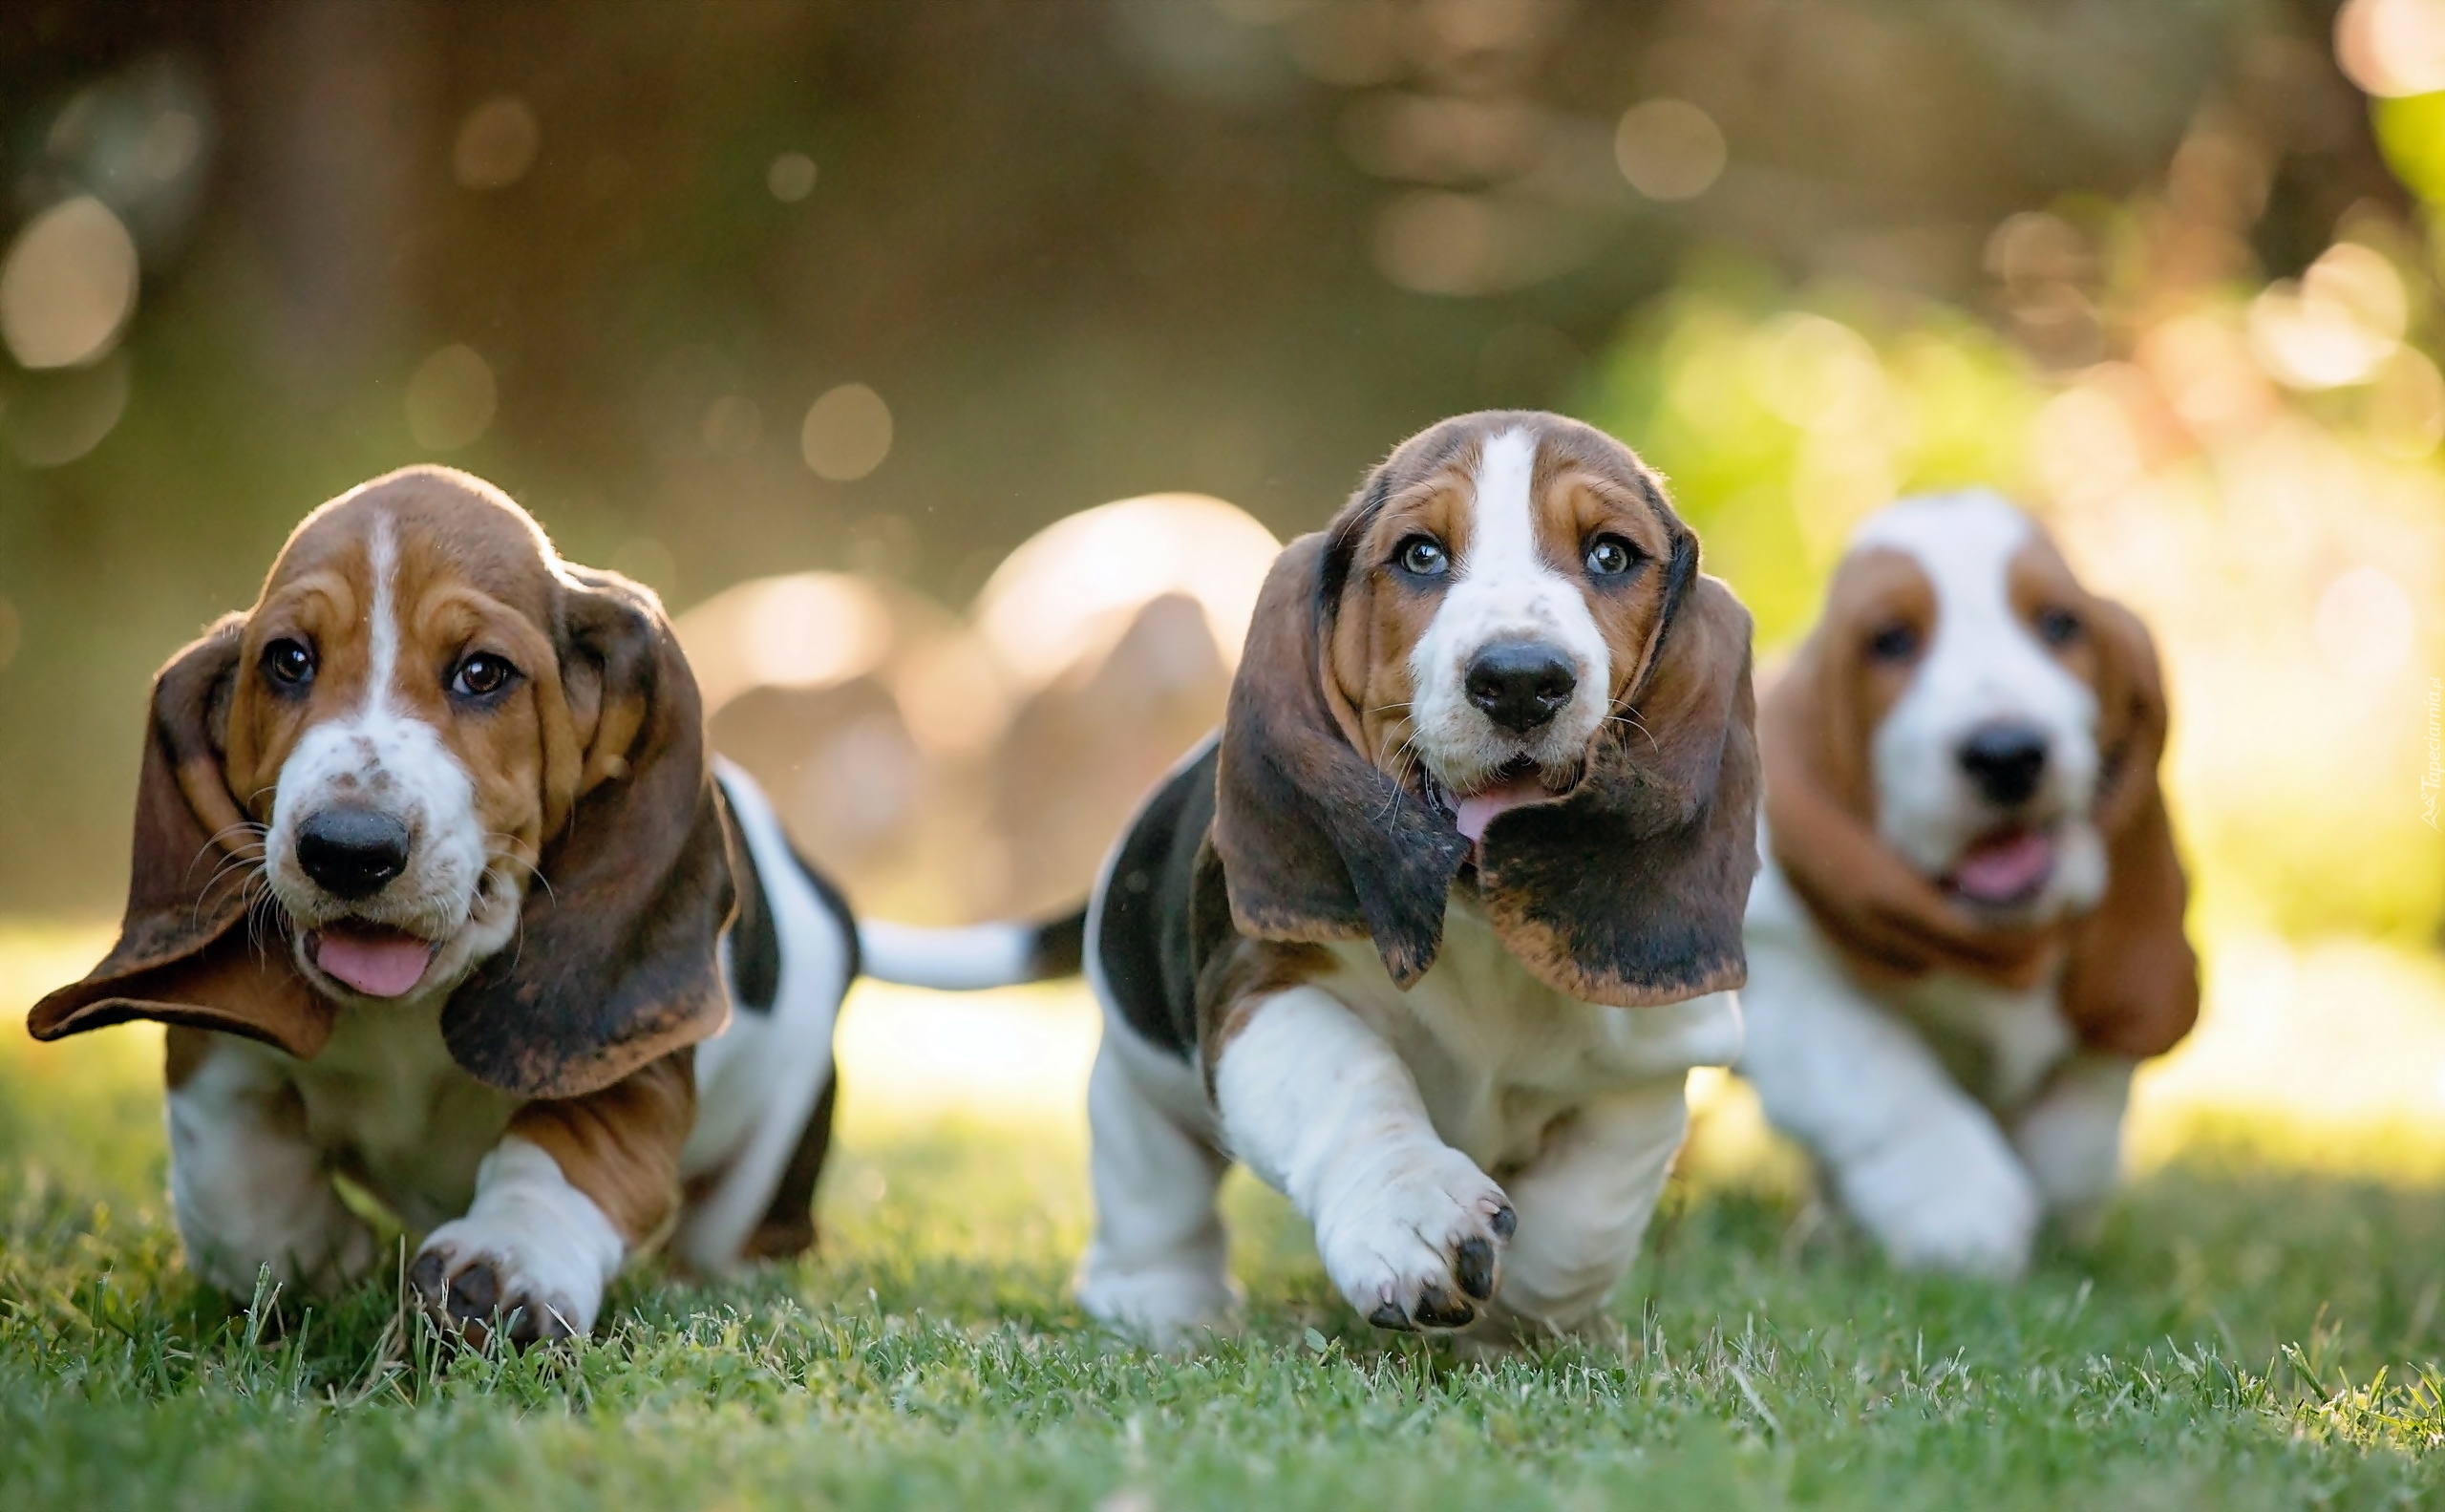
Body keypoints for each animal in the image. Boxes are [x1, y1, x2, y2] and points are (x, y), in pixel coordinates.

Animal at [21, 464, 1071, 1340]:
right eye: (287, 660)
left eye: (483, 672)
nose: (348, 849)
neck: (410, 1010)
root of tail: (832, 901)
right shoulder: (215, 1052)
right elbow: (229, 1171)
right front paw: (314, 1253)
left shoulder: (626, 1054)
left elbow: (566, 1152)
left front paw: (506, 1260)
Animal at [1071, 406, 1760, 1340]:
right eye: (1421, 555)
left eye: (1612, 556)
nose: (1520, 679)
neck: (1481, 921)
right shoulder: (1264, 988)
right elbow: (1352, 1081)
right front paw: (1414, 1217)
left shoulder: (1653, 1064)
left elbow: (1590, 1212)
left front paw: (1522, 1308)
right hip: (1135, 1075)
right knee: (1151, 1182)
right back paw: (1160, 1301)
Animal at [1740, 489, 2200, 1282]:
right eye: (1890, 640)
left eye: (2060, 625)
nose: (2008, 754)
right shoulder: (1783, 985)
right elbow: (1884, 1076)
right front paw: (1959, 1214)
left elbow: (2082, 1123)